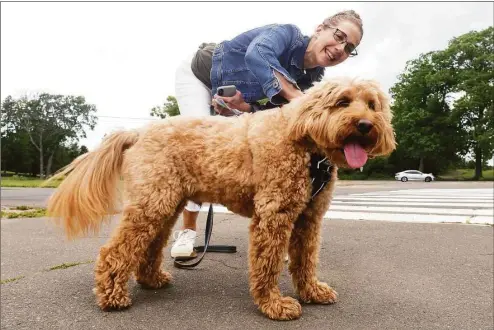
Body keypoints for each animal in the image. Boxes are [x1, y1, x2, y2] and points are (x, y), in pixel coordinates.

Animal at [45, 77, 394, 320]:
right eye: (342, 101)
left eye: (372, 105)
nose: (365, 125)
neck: (305, 146)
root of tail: (138, 133)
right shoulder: (274, 214)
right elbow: (268, 264)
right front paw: (274, 304)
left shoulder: (309, 218)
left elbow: (305, 260)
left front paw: (311, 292)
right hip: (151, 203)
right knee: (115, 252)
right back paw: (112, 297)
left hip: (165, 203)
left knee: (149, 248)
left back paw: (152, 279)